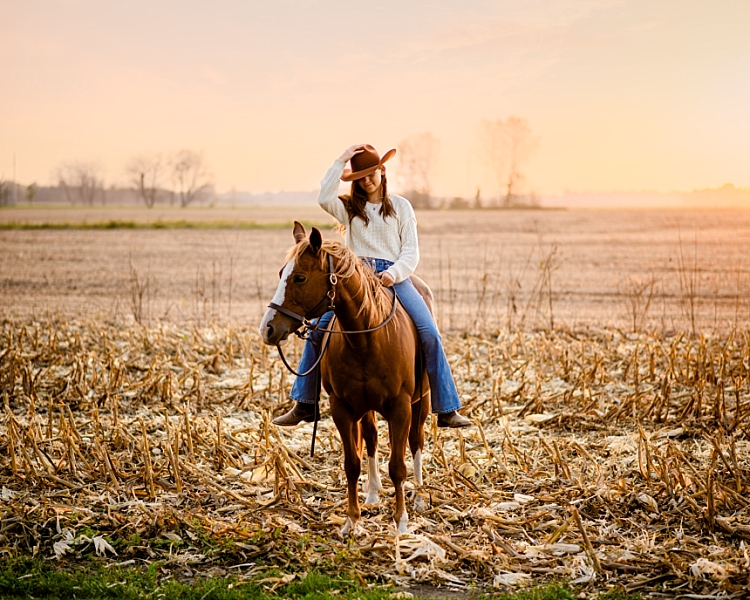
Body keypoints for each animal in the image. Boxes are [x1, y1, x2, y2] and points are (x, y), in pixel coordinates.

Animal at [262, 221, 432, 536]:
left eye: (300, 277)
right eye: (281, 274)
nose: (267, 328)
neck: (365, 339)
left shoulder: (400, 408)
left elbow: (398, 466)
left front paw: (401, 522)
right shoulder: (342, 407)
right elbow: (352, 463)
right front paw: (352, 520)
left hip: (421, 403)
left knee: (416, 441)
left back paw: (418, 494)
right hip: (366, 408)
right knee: (372, 439)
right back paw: (374, 493)